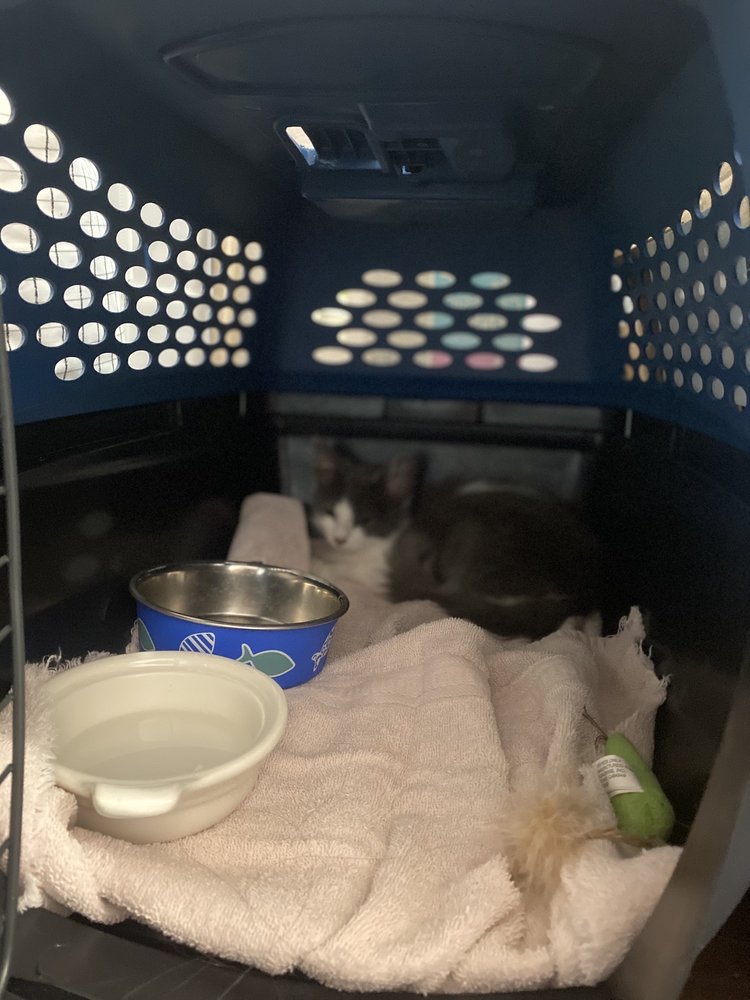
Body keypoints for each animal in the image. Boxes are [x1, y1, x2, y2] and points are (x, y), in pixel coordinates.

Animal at [308, 439, 601, 638]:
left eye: (366, 520)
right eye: (330, 512)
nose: (339, 539)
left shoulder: (383, 564)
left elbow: (357, 571)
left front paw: (321, 565)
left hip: (476, 537)